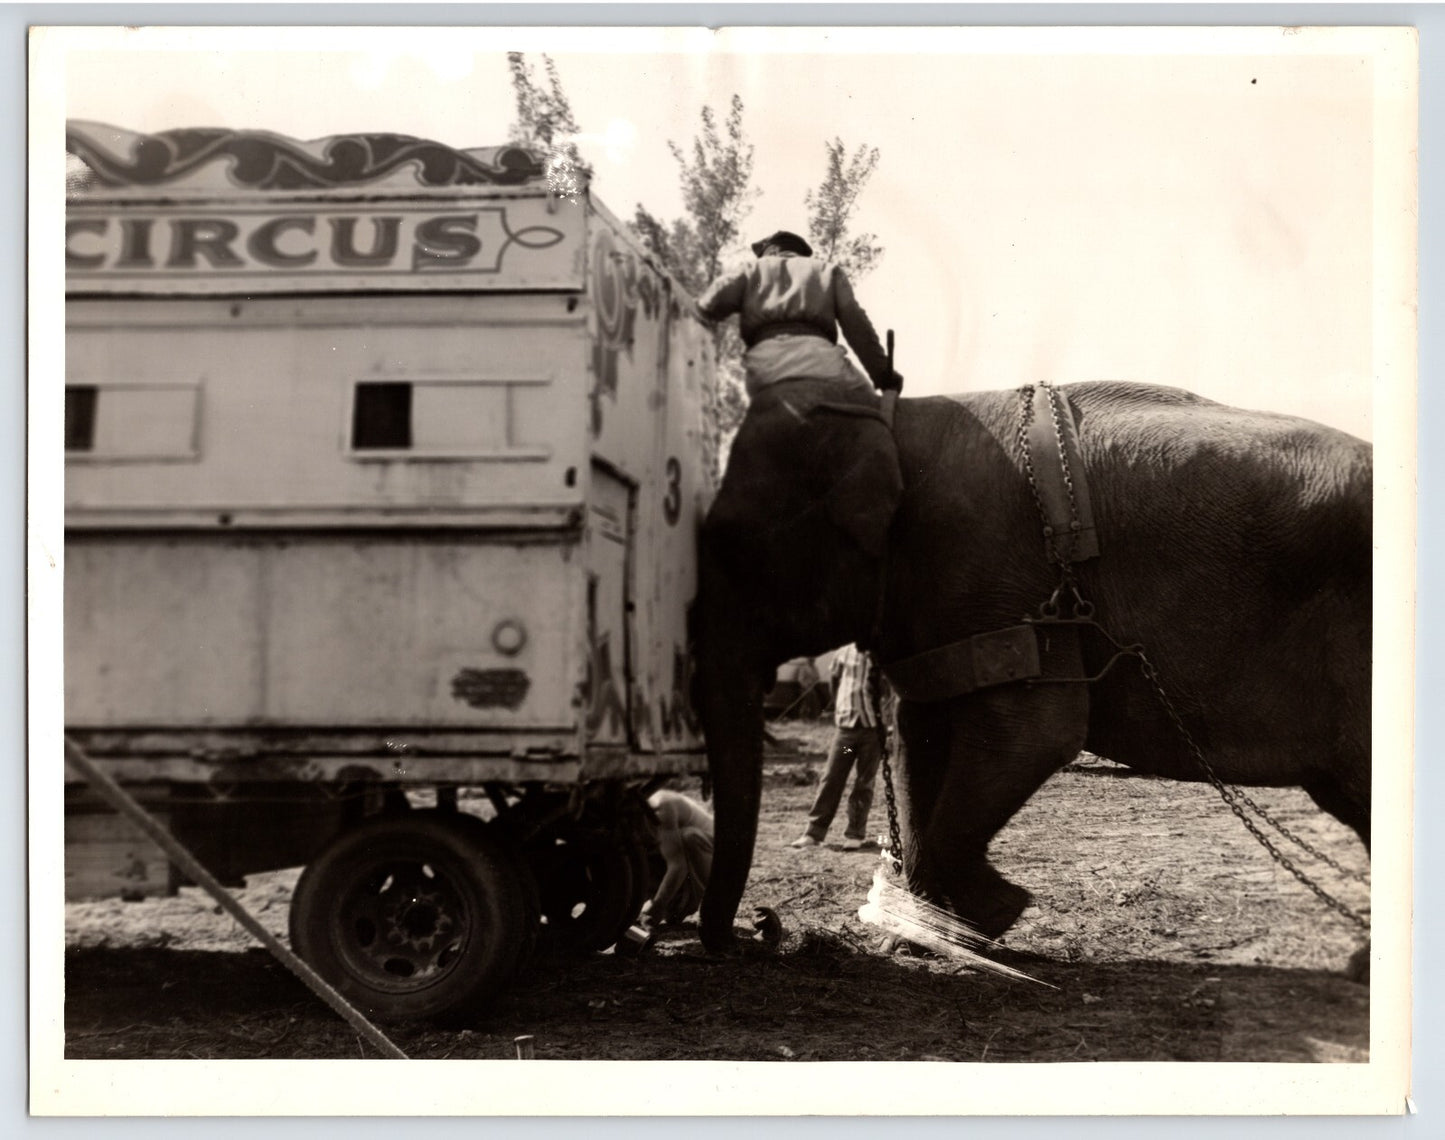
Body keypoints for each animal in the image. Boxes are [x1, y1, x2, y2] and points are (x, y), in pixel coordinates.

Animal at [692, 378, 1371, 958]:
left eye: (726, 542)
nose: (763, 926)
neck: (891, 419)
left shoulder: (1006, 585)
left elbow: (1036, 733)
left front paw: (991, 918)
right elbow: (918, 740)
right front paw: (915, 941)